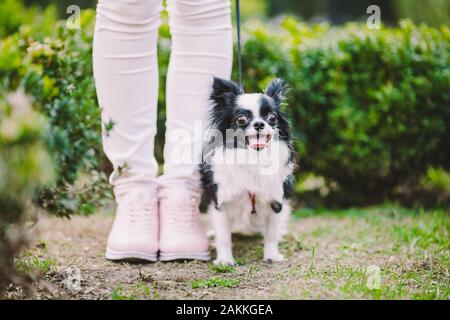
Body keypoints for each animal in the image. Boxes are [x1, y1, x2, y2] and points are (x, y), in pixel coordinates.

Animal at [200, 77, 298, 264]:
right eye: (241, 119)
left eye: (272, 117)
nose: (259, 123)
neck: (254, 158)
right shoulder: (221, 203)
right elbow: (223, 237)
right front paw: (225, 260)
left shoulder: (276, 202)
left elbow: (271, 234)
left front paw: (271, 255)